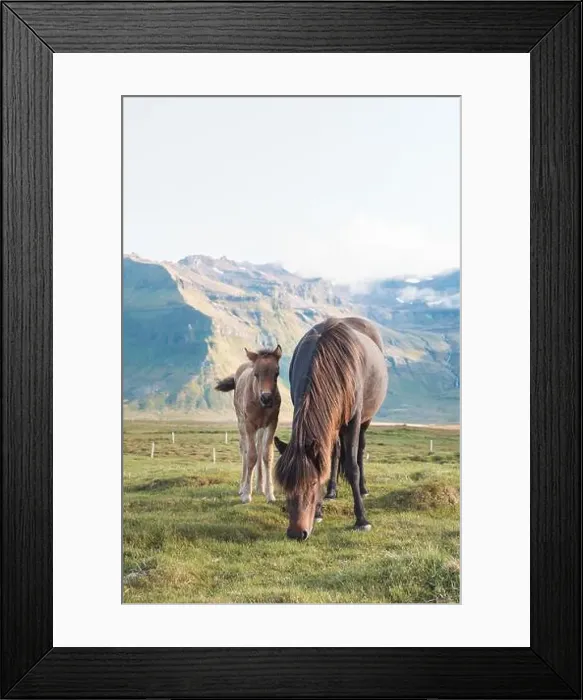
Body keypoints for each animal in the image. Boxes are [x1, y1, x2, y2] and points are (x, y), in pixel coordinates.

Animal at [215, 345, 282, 503]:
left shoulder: (272, 423)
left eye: (276, 373)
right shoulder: (249, 424)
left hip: (260, 428)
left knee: (259, 447)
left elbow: (267, 454)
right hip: (241, 423)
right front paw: (246, 494)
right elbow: (251, 455)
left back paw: (260, 486)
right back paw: (242, 487)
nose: (266, 398)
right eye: (256, 374)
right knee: (244, 448)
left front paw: (270, 494)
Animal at [274, 317, 388, 540]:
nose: (296, 533)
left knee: (360, 451)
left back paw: (363, 488)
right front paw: (318, 512)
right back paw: (332, 491)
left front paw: (362, 519)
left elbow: (352, 466)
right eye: (285, 486)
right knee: (334, 453)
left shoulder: (353, 420)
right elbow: (326, 460)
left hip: (365, 420)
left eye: (312, 483)